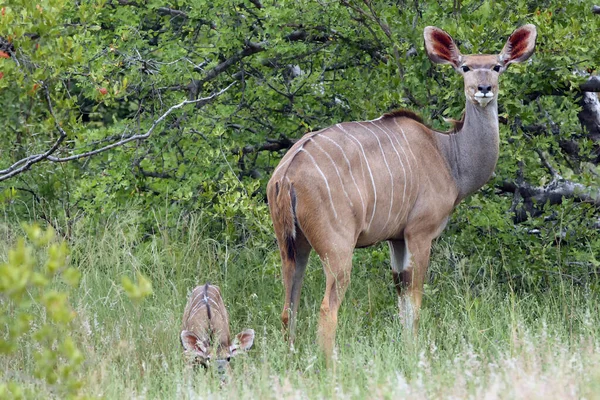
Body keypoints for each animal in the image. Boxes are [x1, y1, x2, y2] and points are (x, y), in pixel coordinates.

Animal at [268, 24, 540, 360]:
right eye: (464, 67)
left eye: (497, 66)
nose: (484, 89)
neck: (447, 154)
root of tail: (287, 174)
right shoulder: (419, 233)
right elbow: (415, 300)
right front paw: (415, 353)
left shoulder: (396, 239)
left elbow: (401, 295)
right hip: (337, 249)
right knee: (326, 309)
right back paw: (331, 364)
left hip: (292, 247)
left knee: (288, 308)